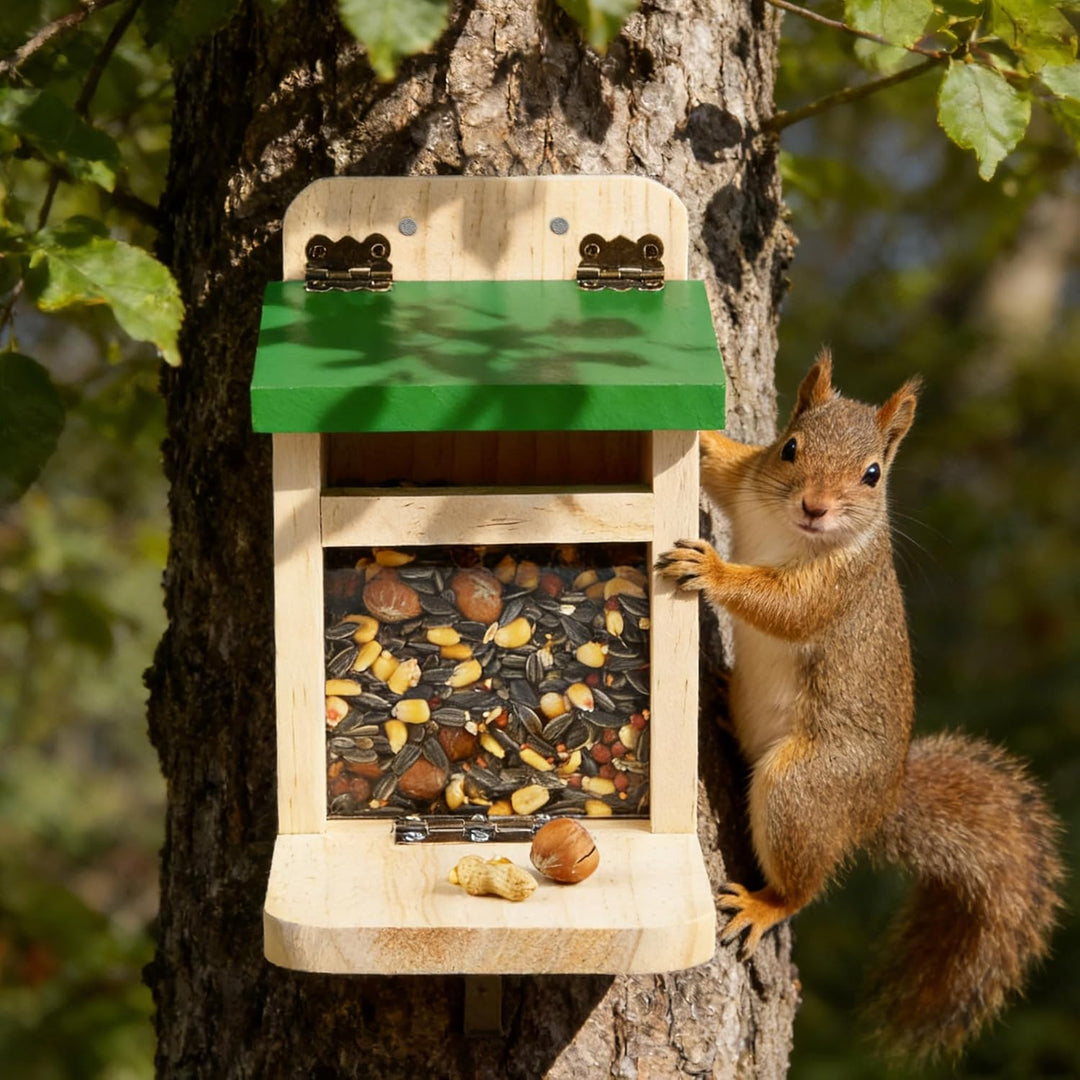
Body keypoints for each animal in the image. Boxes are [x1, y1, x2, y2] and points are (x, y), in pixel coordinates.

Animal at [656, 351, 1064, 1058]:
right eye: (790, 448)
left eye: (873, 474)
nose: (815, 508)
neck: (788, 531)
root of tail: (878, 806)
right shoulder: (749, 482)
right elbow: (720, 459)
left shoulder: (835, 588)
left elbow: (783, 607)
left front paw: (714, 573)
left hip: (806, 787)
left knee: (806, 883)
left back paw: (766, 904)